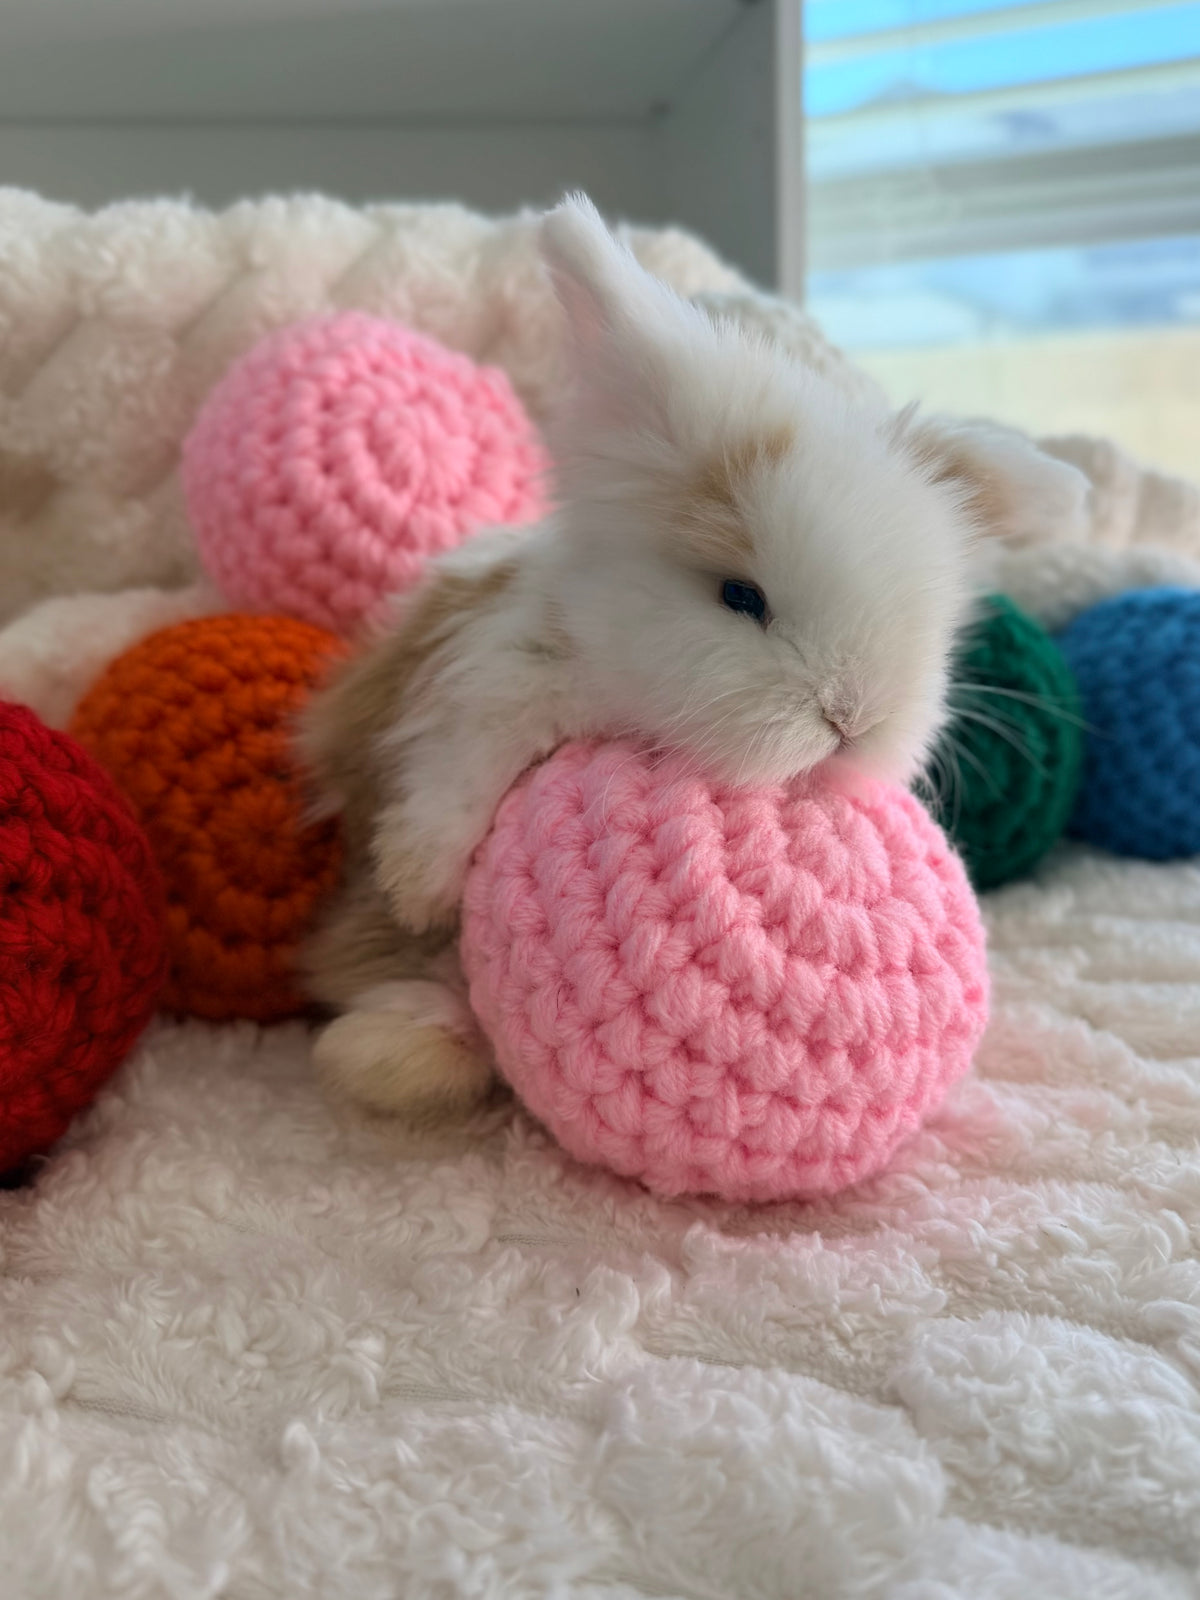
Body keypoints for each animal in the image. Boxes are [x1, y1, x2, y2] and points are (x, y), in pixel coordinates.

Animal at [298, 192, 1087, 1124]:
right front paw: (416, 883)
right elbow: (460, 772)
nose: (851, 717)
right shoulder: (493, 675)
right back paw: (386, 1050)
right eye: (740, 596)